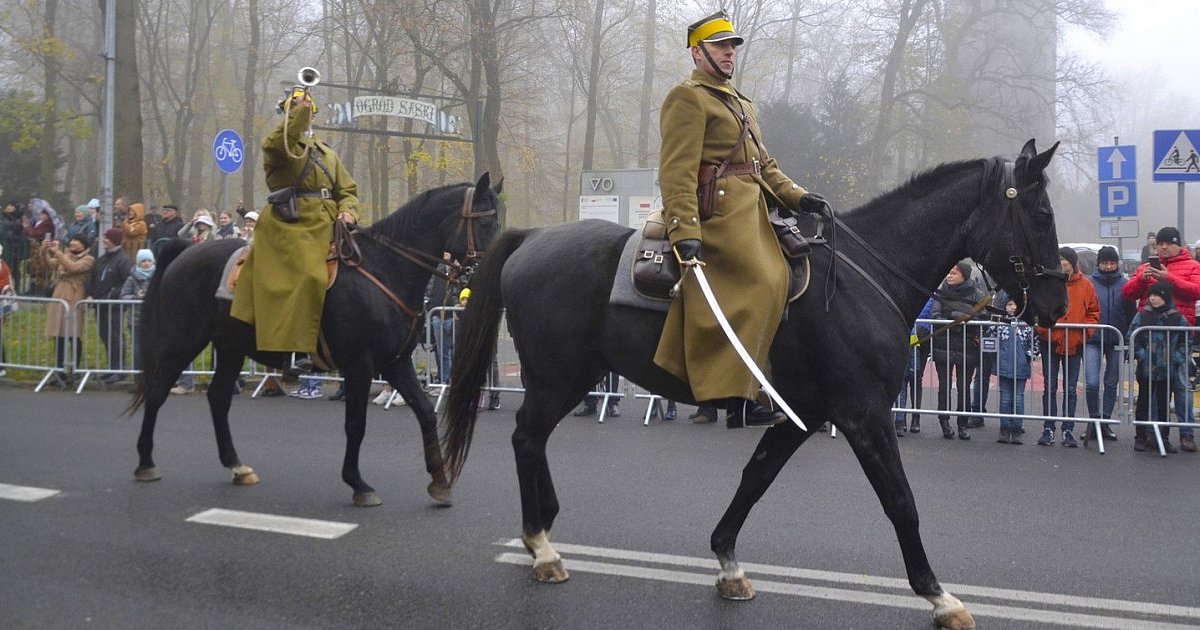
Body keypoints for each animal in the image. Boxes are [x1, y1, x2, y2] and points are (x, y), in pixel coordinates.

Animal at [446, 142, 1065, 628]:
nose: (1057, 306)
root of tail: (531, 239)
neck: (865, 279)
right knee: (527, 437)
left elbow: (756, 478)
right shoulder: (864, 415)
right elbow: (900, 501)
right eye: (1039, 213)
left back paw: (543, 528)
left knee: (533, 439)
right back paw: (541, 546)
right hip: (558, 378)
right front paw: (938, 597)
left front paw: (727, 561)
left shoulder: (805, 414)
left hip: (567, 379)